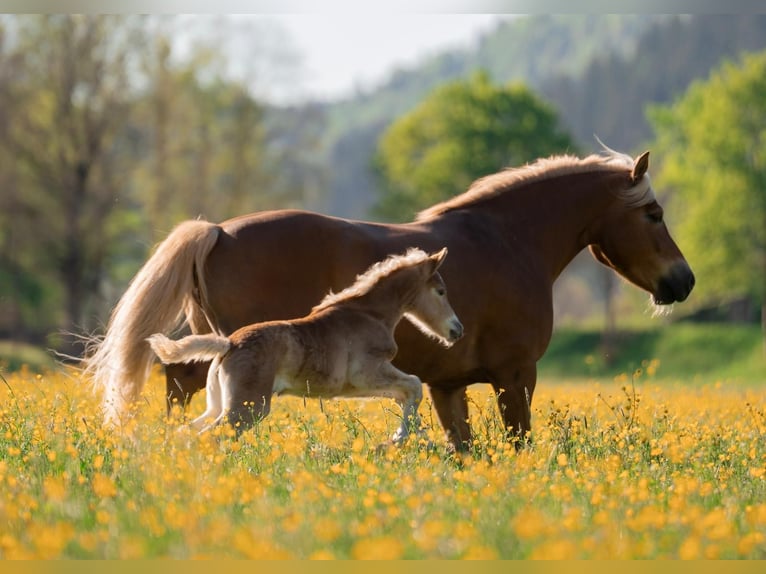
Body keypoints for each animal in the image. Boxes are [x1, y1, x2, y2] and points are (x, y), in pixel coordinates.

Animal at [146, 248, 463, 442]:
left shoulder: (364, 385)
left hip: (218, 404)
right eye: (440, 291)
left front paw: (411, 437)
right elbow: (414, 384)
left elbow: (406, 392)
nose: (456, 330)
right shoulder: (367, 373)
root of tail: (229, 344)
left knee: (186, 431)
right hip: (246, 409)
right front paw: (399, 438)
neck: (369, 313)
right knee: (210, 436)